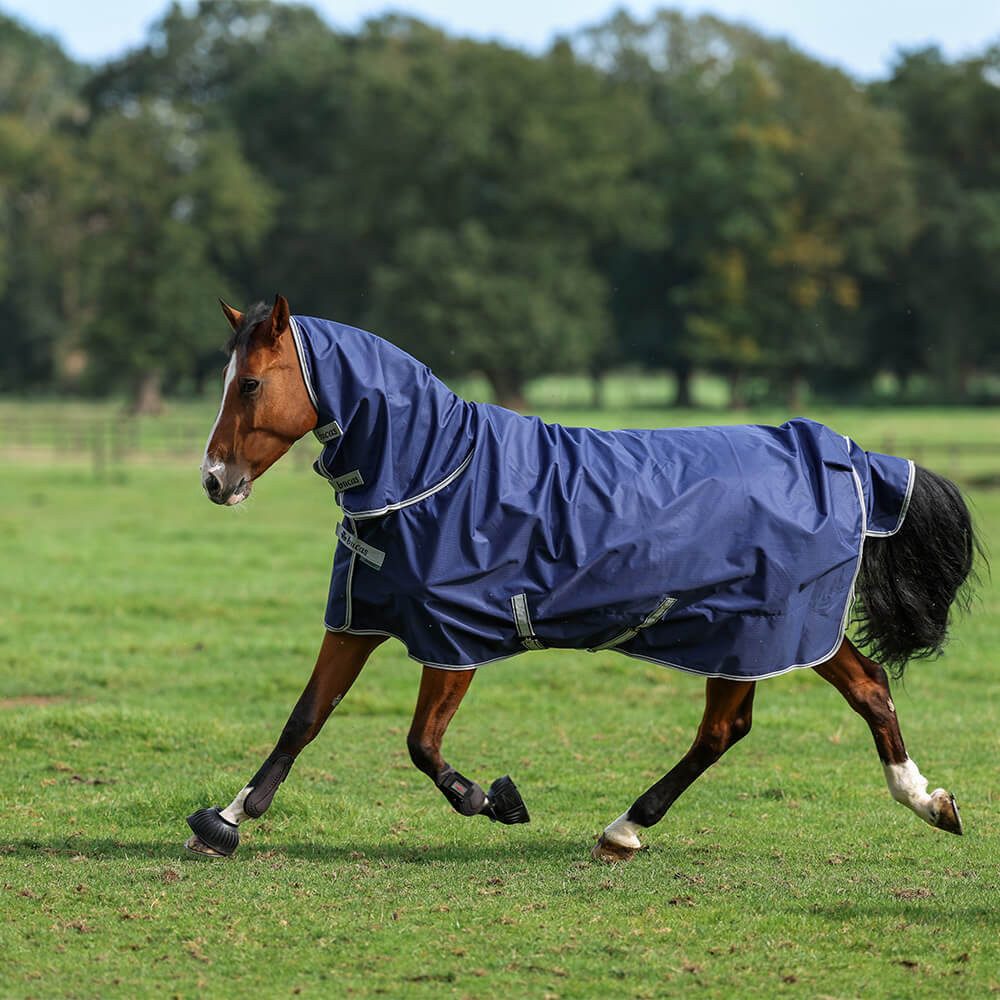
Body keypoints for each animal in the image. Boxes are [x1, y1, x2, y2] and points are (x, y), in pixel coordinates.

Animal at [186, 295, 979, 862]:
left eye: (250, 383)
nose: (214, 481)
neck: (431, 473)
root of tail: (841, 454)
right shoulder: (360, 619)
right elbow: (304, 719)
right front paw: (227, 818)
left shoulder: (454, 640)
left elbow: (421, 744)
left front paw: (494, 800)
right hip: (767, 633)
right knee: (846, 694)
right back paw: (926, 801)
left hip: (756, 629)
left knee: (735, 726)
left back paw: (626, 827)